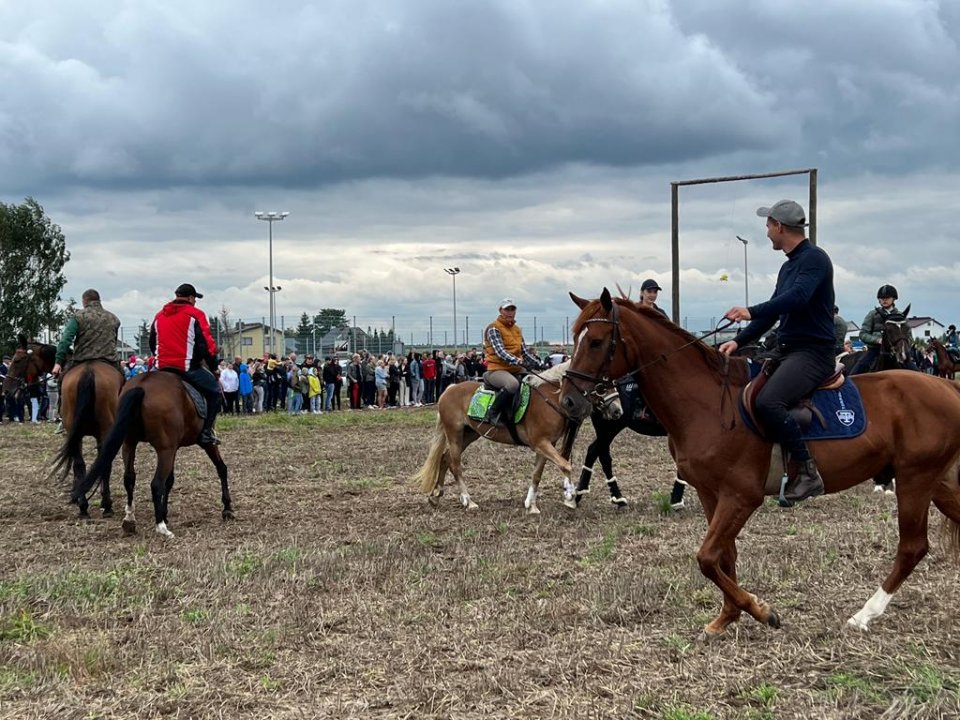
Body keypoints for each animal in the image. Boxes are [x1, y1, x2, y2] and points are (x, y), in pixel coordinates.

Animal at [71, 366, 232, 540]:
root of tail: (142, 386)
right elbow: (221, 468)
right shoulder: (202, 444)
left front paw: (164, 513)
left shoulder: (173, 449)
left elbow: (170, 481)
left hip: (130, 444)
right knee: (156, 484)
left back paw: (130, 518)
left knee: (129, 478)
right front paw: (227, 508)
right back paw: (161, 527)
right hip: (164, 450)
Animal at [412, 362, 608, 516]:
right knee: (455, 465)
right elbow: (566, 465)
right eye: (602, 387)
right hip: (454, 433)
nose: (614, 409)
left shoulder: (545, 445)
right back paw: (468, 501)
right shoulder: (541, 443)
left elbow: (537, 474)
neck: (551, 398)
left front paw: (531, 506)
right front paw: (569, 493)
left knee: (445, 458)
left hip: (469, 434)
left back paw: (436, 496)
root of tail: (450, 389)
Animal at [560, 290, 960, 632]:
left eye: (595, 342)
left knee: (912, 548)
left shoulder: (741, 496)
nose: (568, 400)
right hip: (935, 483)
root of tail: (947, 386)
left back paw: (865, 613)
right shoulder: (712, 494)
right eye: (576, 336)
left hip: (915, 480)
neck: (707, 402)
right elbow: (725, 556)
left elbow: (707, 557)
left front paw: (759, 610)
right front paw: (727, 616)